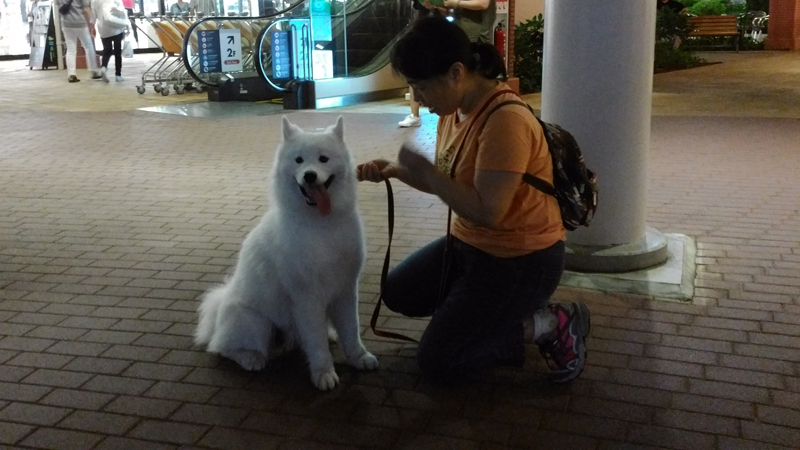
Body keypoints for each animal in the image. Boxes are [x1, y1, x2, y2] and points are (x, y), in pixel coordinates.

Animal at [195, 116, 380, 390]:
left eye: (323, 159)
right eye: (299, 160)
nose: (310, 176)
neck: (321, 226)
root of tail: (221, 304)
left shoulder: (346, 289)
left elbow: (351, 331)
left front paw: (360, 358)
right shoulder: (307, 297)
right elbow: (316, 342)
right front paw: (324, 374)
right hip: (257, 323)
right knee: (222, 347)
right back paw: (251, 357)